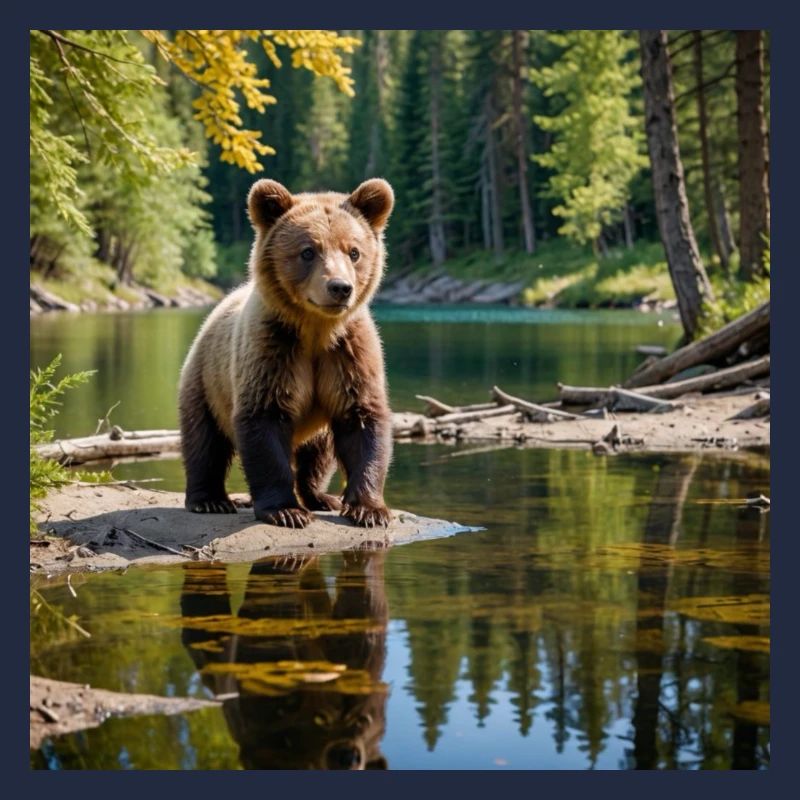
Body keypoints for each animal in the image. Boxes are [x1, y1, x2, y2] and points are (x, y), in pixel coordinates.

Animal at [178, 177, 394, 530]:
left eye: (354, 251)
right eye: (308, 251)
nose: (340, 287)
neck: (316, 330)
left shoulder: (348, 355)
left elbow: (362, 420)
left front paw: (370, 509)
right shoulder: (272, 351)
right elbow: (263, 419)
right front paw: (285, 510)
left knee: (319, 453)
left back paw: (320, 496)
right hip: (206, 380)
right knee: (203, 439)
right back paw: (209, 499)